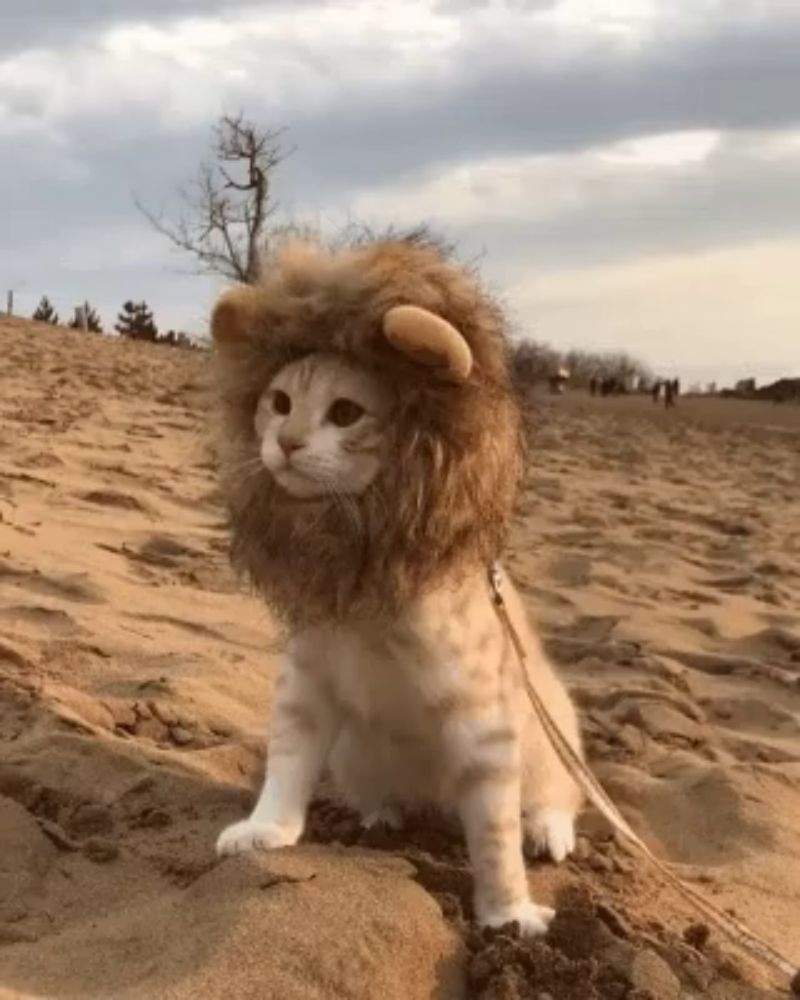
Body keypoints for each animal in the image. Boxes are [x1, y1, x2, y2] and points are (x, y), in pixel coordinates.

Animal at [216, 350, 584, 936]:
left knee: (558, 793)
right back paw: (382, 814)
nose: (287, 442)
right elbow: (286, 761)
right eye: (280, 402)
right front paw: (266, 829)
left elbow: (496, 837)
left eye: (345, 412)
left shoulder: (484, 727)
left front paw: (508, 913)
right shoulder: (306, 682)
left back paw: (548, 829)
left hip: (551, 723)